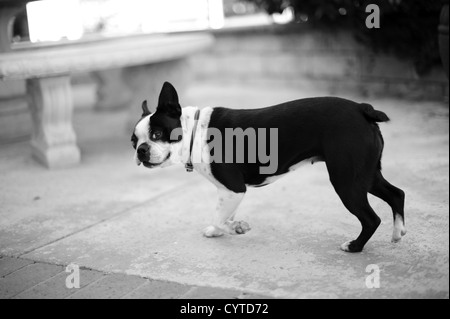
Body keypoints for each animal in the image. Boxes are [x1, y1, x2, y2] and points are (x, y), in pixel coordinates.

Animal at [132, 82, 406, 252]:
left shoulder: (234, 188)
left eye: (157, 134)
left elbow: (221, 217)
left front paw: (234, 228)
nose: (141, 150)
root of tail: (362, 109)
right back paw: (397, 232)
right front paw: (220, 229)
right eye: (133, 141)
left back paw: (355, 247)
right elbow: (223, 214)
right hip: (365, 174)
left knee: (371, 218)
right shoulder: (228, 192)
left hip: (346, 181)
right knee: (396, 194)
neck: (195, 132)